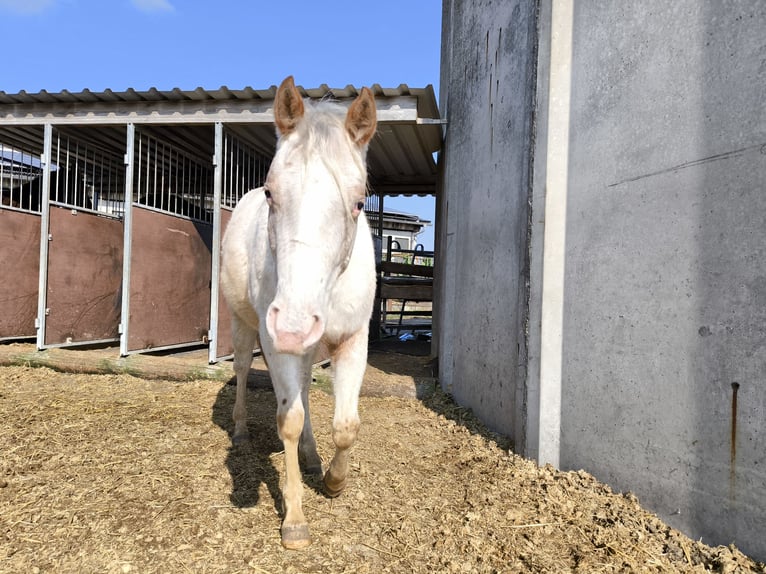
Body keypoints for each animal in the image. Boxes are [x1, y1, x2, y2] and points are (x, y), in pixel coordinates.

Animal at [220, 75, 380, 548]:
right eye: (271, 192)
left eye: (359, 202)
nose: (291, 325)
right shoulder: (276, 345)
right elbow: (288, 420)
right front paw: (293, 519)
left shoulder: (352, 341)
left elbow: (346, 425)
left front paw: (333, 481)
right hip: (244, 326)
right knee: (242, 370)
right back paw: (240, 430)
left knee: (307, 391)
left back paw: (312, 458)